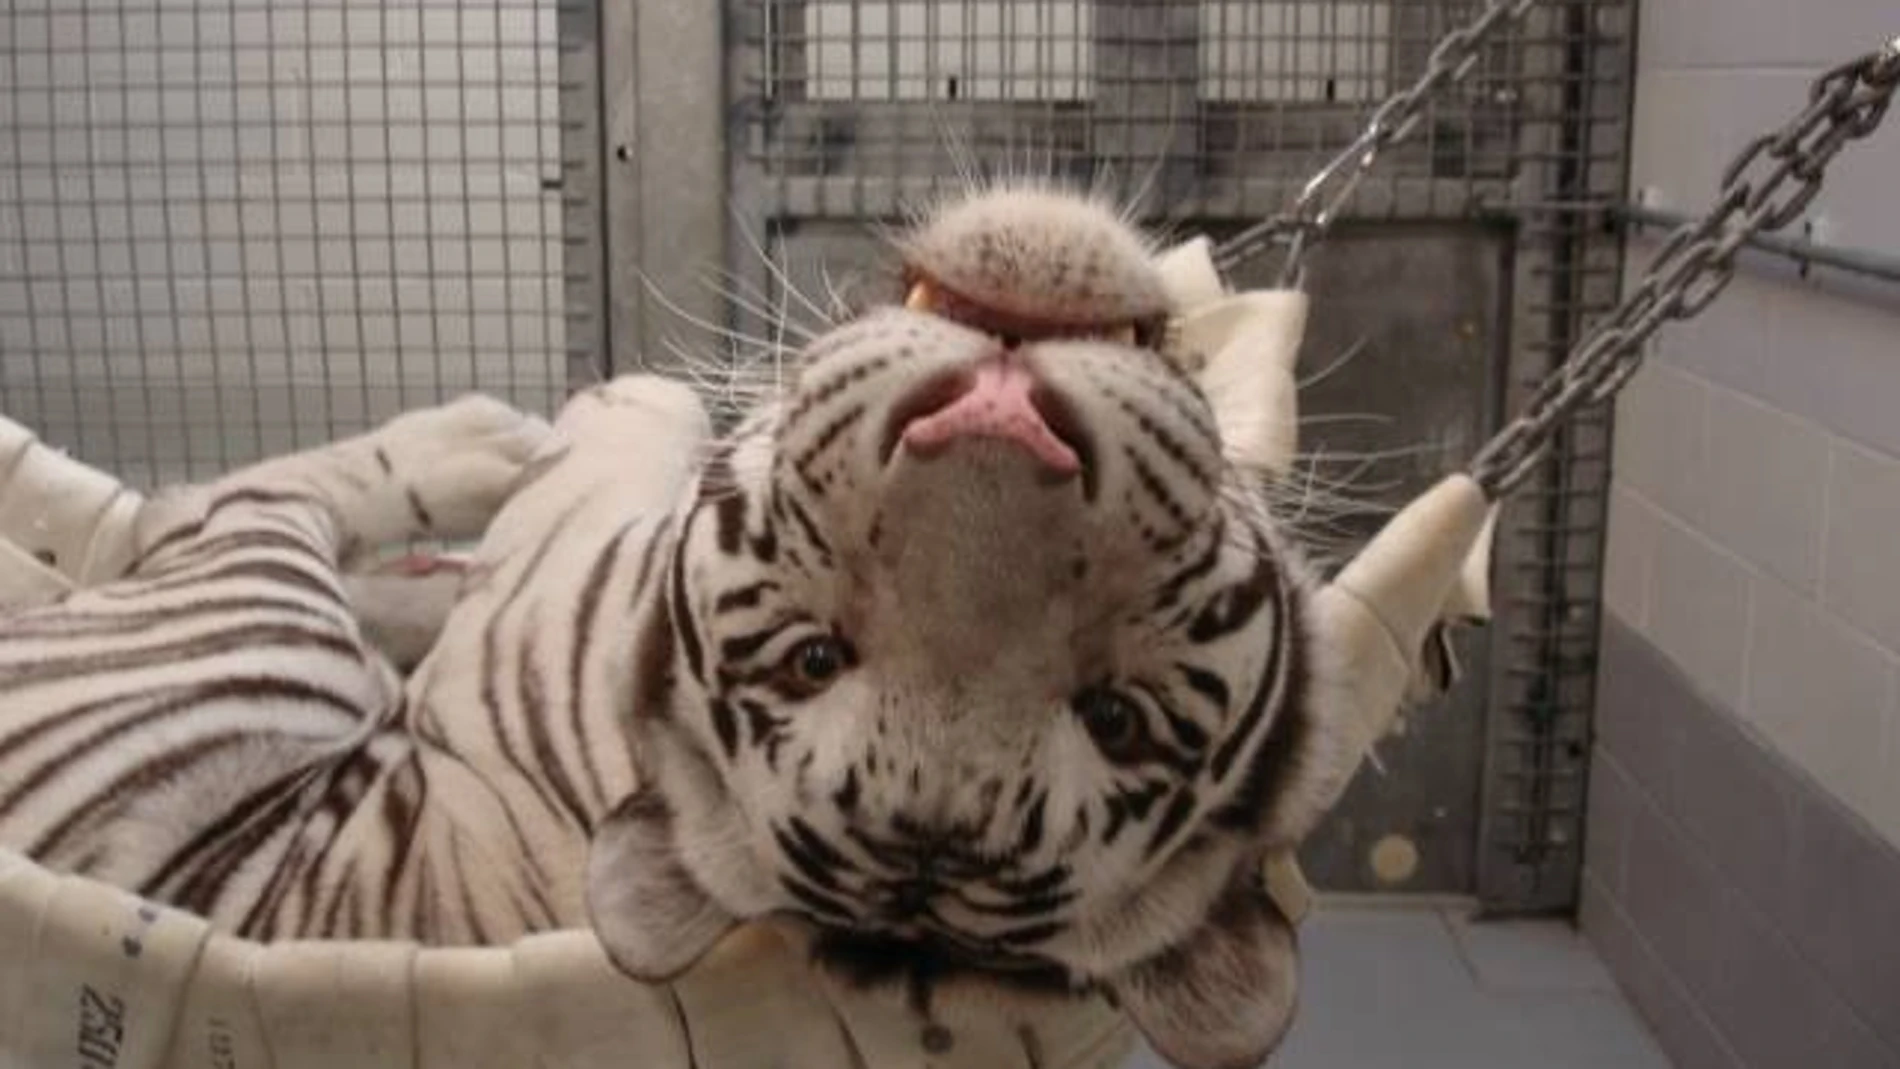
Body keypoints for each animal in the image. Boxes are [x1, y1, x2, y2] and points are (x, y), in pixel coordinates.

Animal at [0, 183, 1384, 1069]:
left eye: (1112, 715)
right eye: (815, 657)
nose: (1001, 413)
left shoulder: (552, 555)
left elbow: (639, 408)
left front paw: (574, 417)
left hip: (249, 627)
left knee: (221, 506)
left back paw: (465, 451)